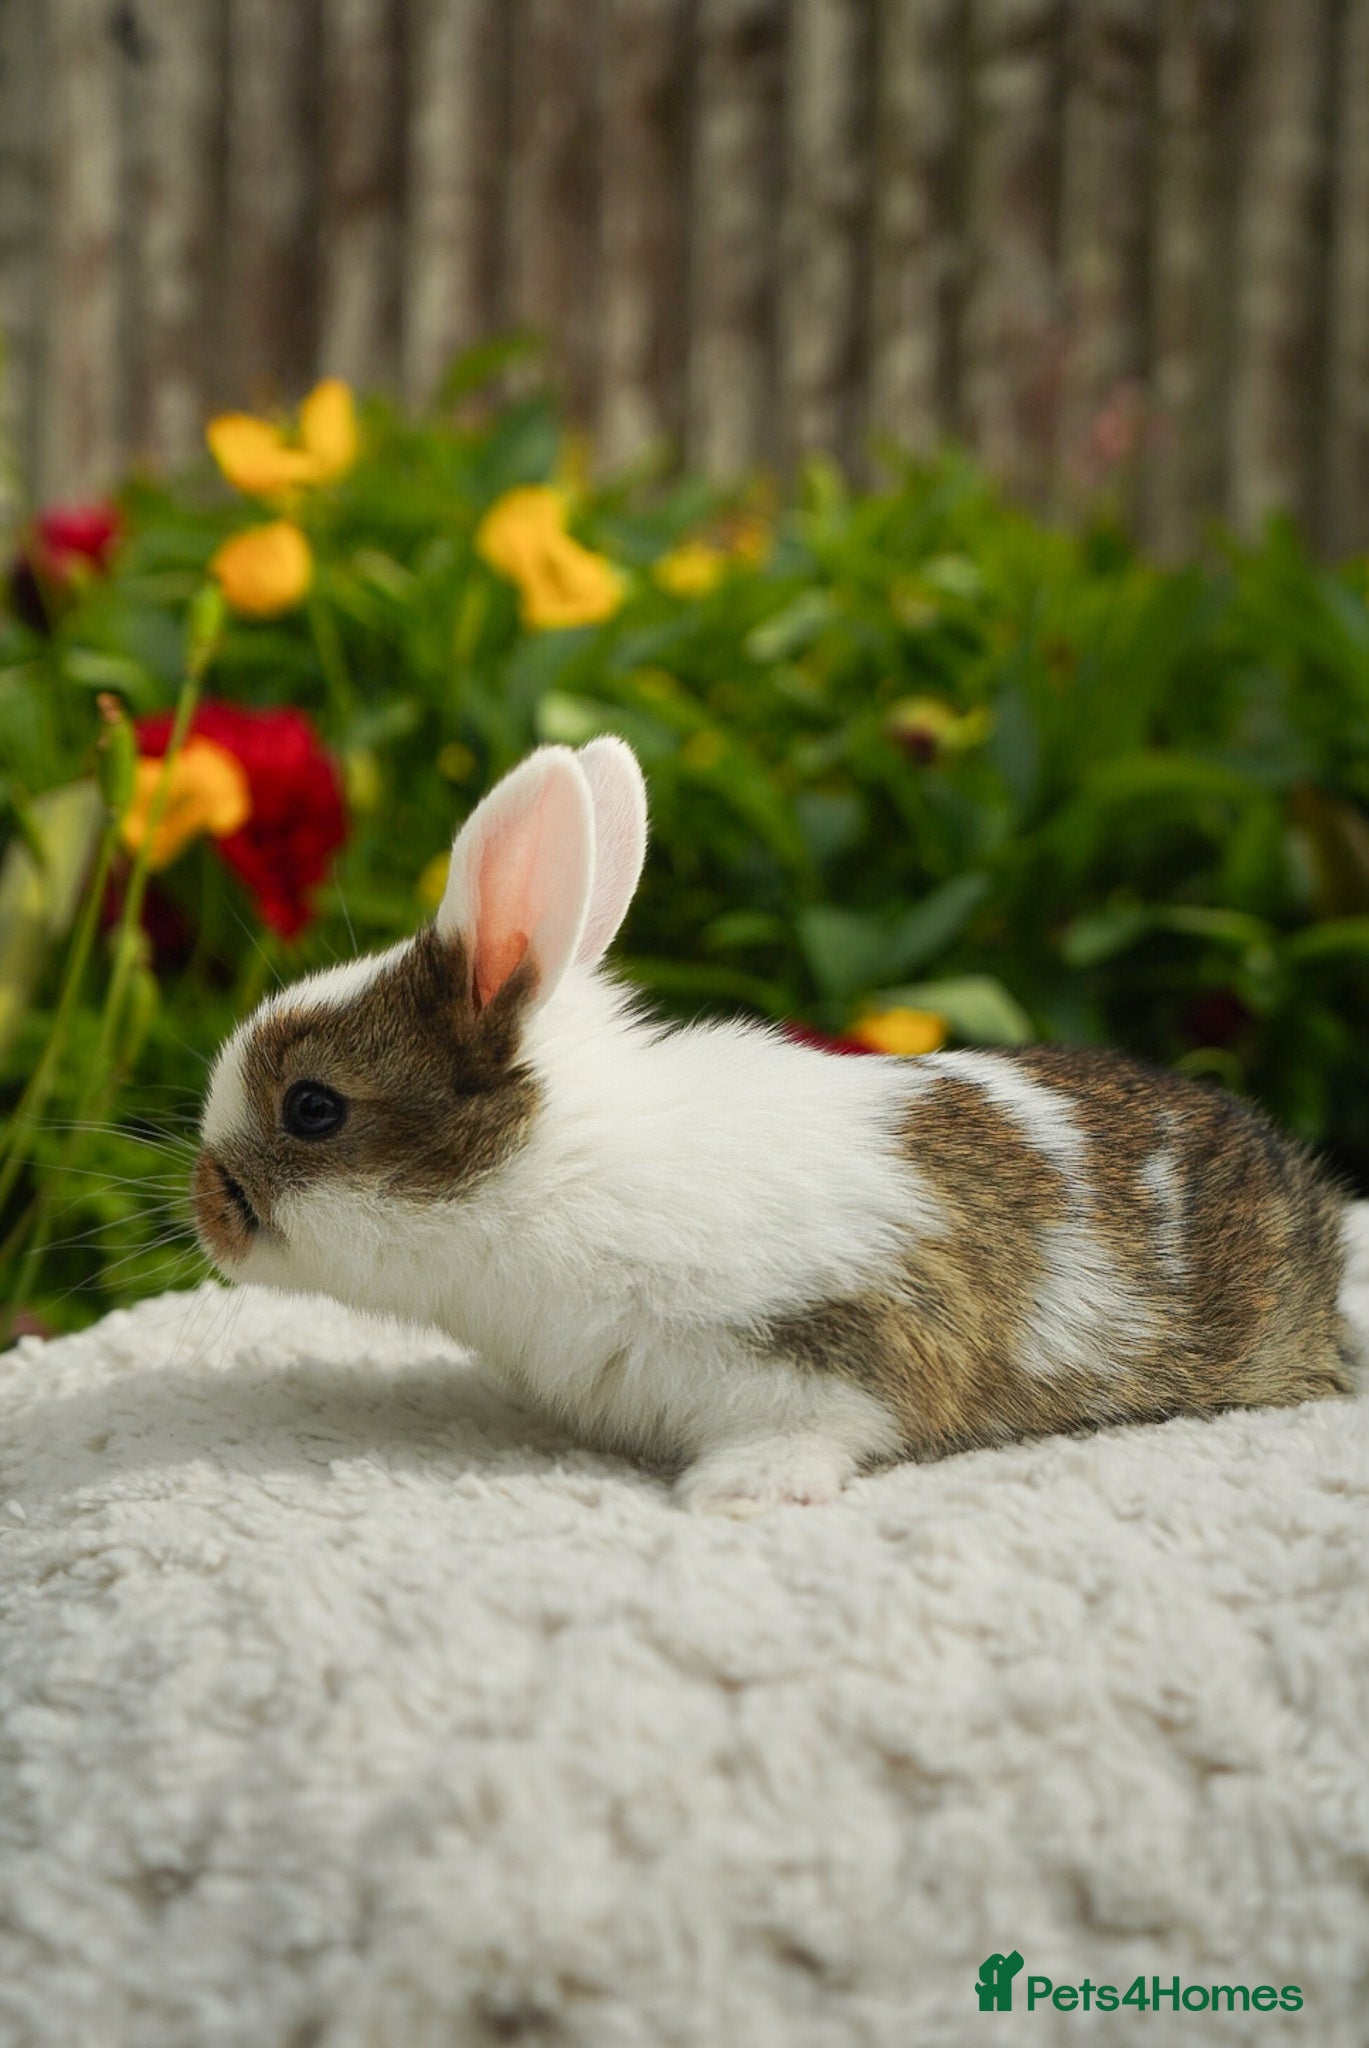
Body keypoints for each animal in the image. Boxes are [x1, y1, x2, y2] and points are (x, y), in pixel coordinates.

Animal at [191, 737, 1361, 1513]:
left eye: (312, 1107)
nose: (207, 1207)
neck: (552, 1174)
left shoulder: (832, 1337)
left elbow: (833, 1422)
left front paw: (738, 1490)